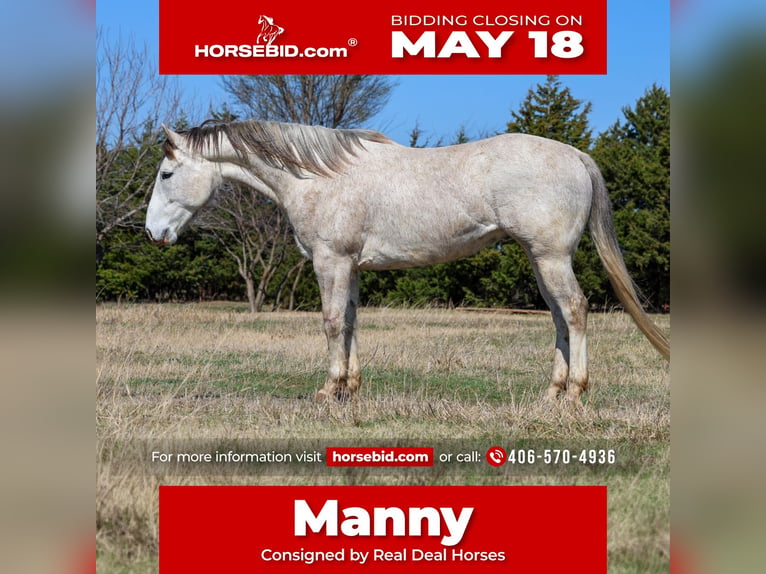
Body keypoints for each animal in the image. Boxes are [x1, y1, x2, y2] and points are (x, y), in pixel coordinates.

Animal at [145, 120, 670, 404]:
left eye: (168, 173)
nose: (153, 234)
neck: (319, 177)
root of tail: (576, 155)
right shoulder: (351, 267)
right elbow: (351, 322)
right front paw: (350, 390)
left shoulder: (331, 262)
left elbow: (331, 323)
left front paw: (328, 390)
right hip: (542, 261)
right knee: (560, 318)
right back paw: (550, 394)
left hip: (551, 257)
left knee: (576, 312)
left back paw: (575, 392)